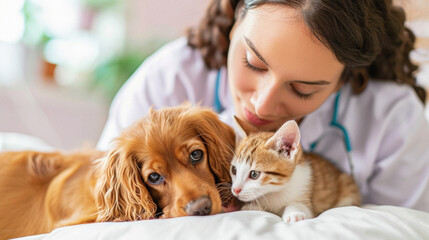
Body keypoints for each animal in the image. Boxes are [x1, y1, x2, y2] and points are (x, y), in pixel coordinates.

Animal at [229, 120, 360, 223]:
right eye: (234, 170)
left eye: (254, 174)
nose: (235, 190)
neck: (274, 191)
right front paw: (252, 207)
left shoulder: (306, 196)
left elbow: (301, 206)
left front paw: (294, 213)